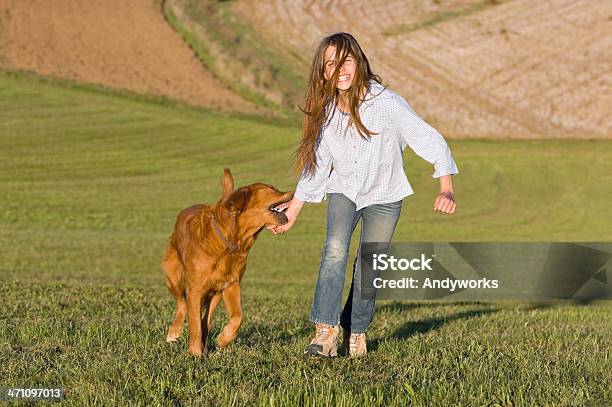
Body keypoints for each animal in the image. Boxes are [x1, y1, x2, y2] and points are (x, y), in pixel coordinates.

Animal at [161, 169, 292, 356]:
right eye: (271, 188)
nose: (294, 191)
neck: (230, 242)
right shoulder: (195, 289)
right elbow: (194, 324)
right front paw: (195, 354)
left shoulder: (230, 284)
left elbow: (238, 317)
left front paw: (223, 339)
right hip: (174, 277)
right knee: (182, 304)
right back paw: (174, 332)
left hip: (215, 293)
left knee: (205, 319)